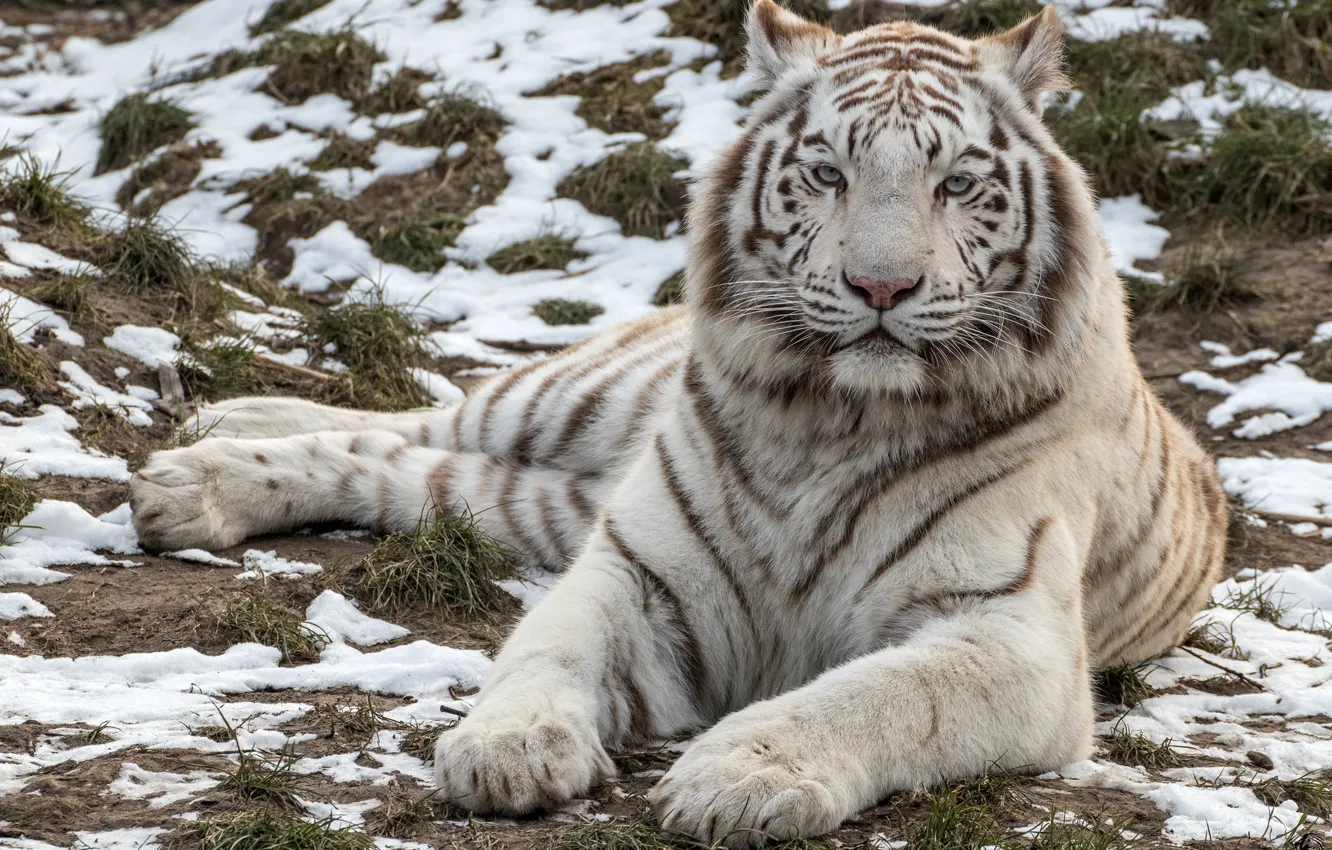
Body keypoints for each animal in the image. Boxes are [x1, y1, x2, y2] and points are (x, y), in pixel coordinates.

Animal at [129, 2, 1227, 845]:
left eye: (956, 181)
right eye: (828, 172)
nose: (881, 287)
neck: (835, 418)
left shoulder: (1010, 632)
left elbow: (877, 693)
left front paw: (739, 775)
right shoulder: (637, 566)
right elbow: (547, 646)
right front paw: (506, 745)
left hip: (535, 502)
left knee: (399, 468)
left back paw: (192, 480)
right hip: (566, 404)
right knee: (422, 415)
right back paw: (208, 443)